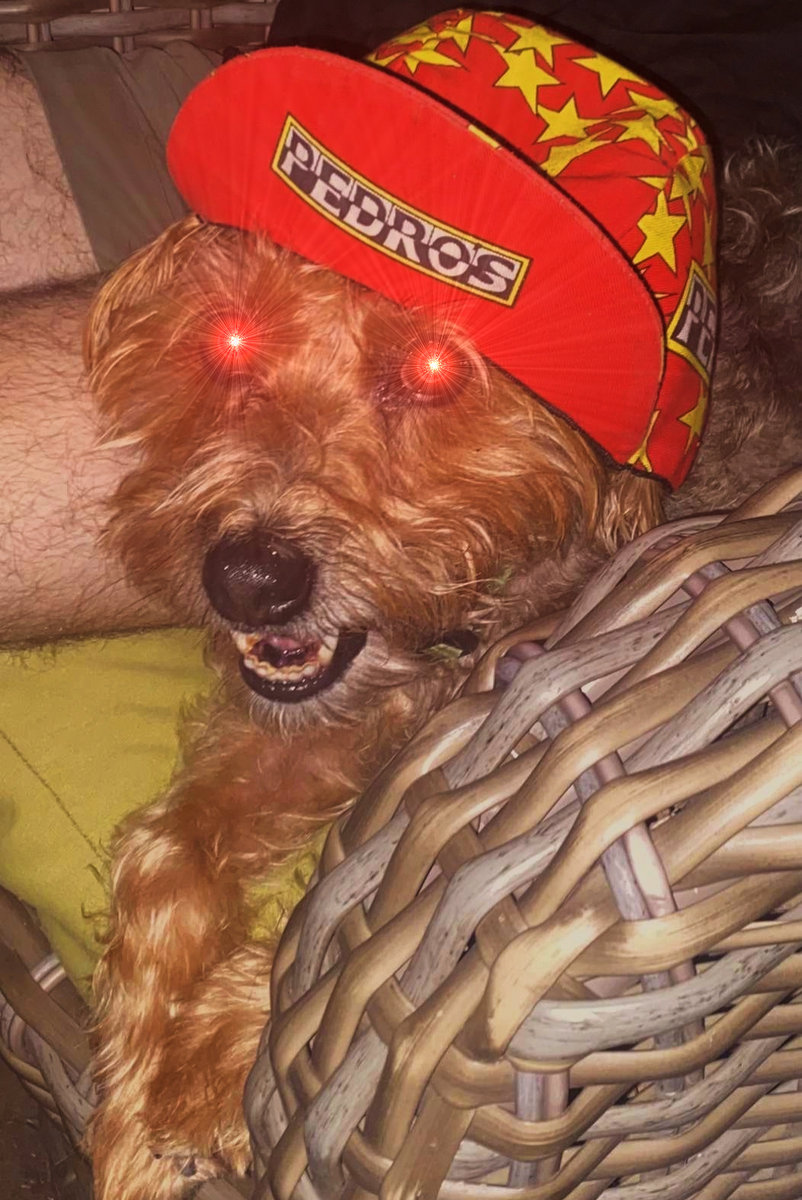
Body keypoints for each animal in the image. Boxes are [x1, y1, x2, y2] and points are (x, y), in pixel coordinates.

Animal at [83, 11, 802, 1198]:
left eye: (430, 371)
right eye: (230, 340)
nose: (248, 577)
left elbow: (365, 985)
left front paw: (200, 1075)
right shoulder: (313, 723)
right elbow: (161, 858)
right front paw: (137, 1127)